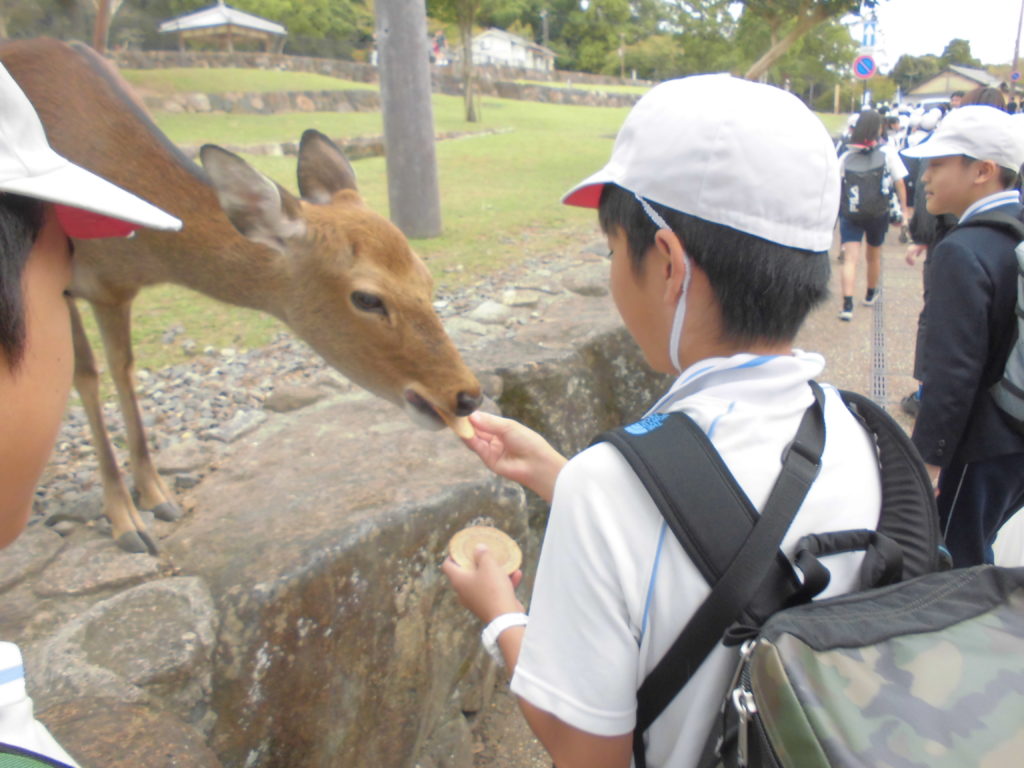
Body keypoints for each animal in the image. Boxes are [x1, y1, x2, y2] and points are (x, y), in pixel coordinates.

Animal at [0, 39, 481, 552]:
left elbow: (123, 369)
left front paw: (158, 496)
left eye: (426, 278)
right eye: (368, 298)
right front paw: (125, 522)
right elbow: (85, 375)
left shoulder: (115, 290)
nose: (466, 396)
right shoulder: (65, 285)